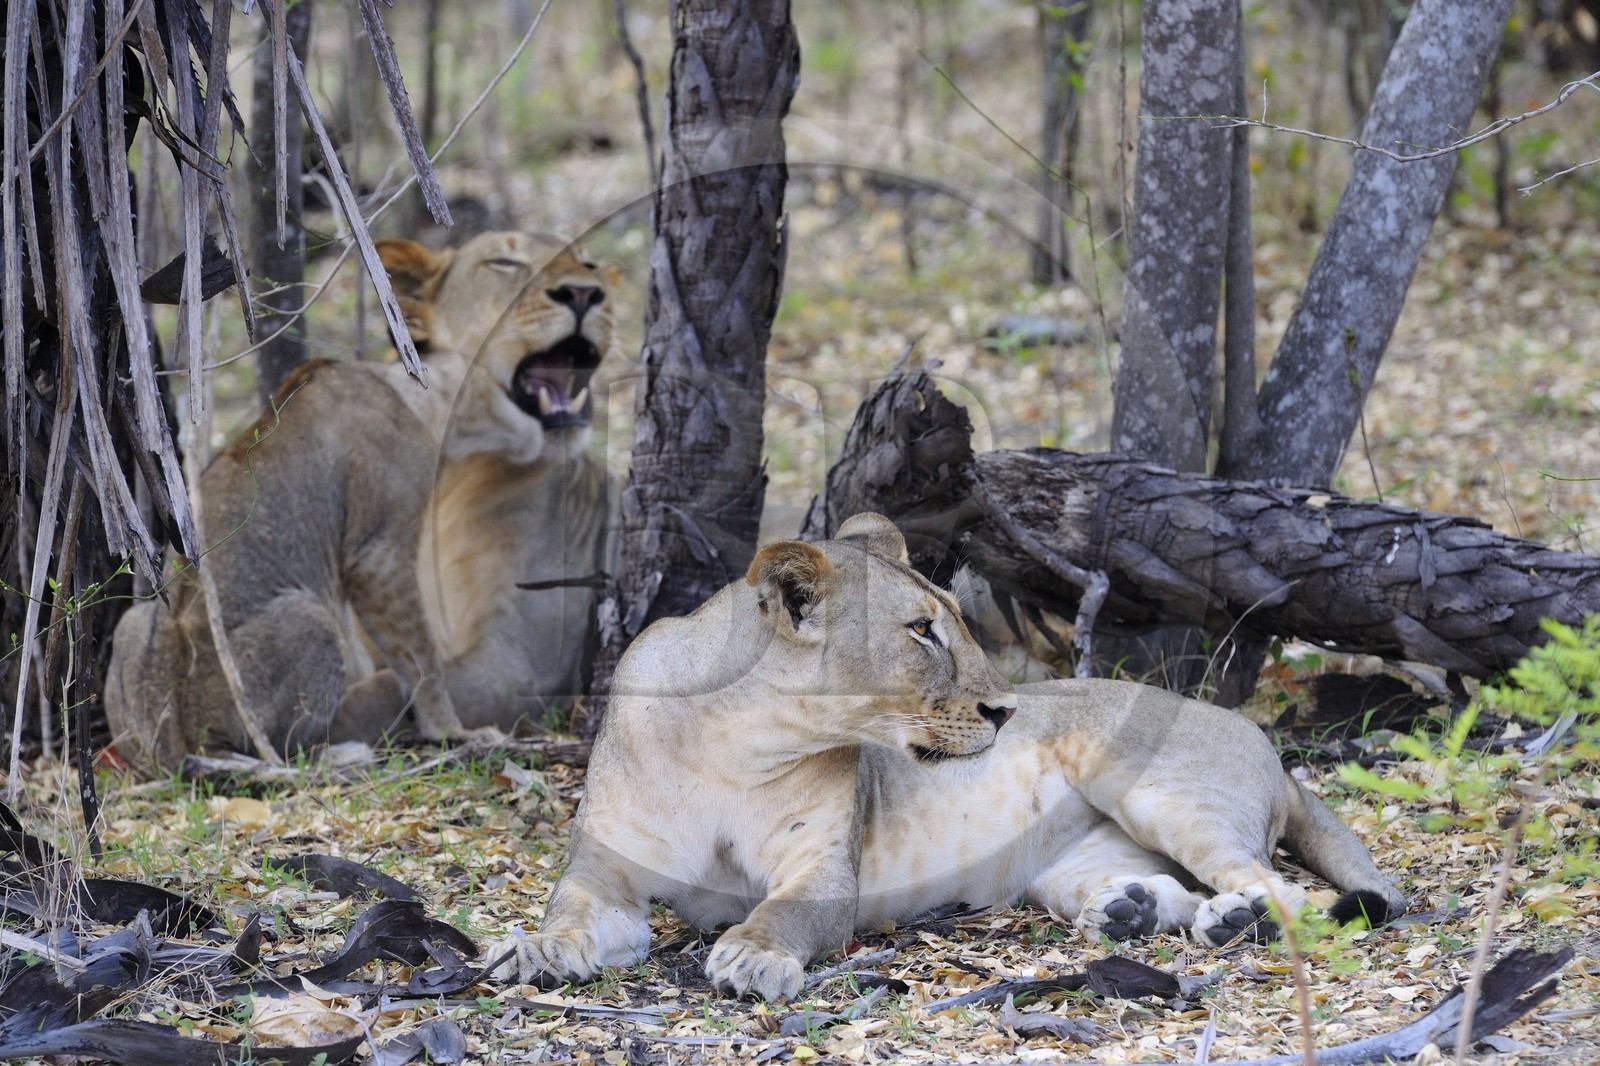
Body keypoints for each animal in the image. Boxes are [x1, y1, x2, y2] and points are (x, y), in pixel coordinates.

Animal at [375, 232, 617, 729]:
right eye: (504, 262)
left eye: (590, 264)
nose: (584, 293)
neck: (450, 481)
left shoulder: (524, 665)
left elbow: (383, 690)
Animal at [490, 513, 1407, 1001]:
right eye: (920, 631)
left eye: (956, 620)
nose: (1005, 708)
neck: (734, 745)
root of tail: (1268, 745)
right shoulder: (606, 867)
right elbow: (570, 909)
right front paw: (534, 951)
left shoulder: (822, 874)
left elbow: (781, 914)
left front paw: (753, 955)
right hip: (1067, 866)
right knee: (1172, 888)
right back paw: (1134, 912)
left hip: (1158, 791)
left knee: (1280, 887)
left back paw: (1236, 921)